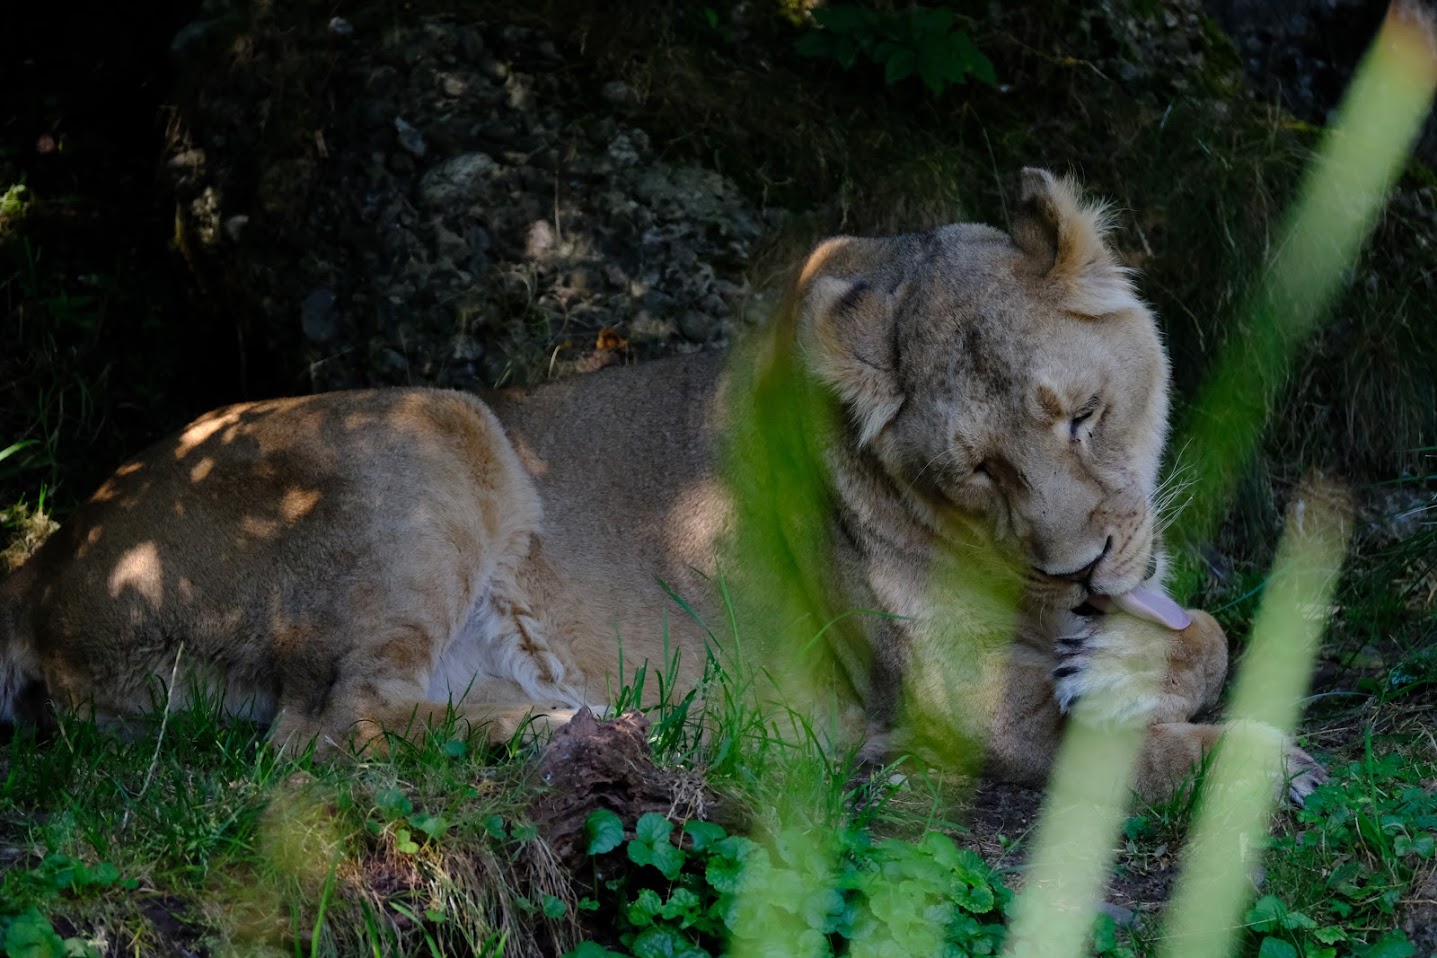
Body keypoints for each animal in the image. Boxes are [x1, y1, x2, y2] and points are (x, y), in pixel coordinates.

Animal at [0, 168, 1323, 803]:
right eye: (981, 469)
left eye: (1083, 419)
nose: (1081, 565)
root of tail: (48, 562)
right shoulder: (960, 704)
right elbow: (1128, 753)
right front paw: (1263, 767)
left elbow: (1209, 630)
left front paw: (1126, 659)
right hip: (436, 430)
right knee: (323, 730)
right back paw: (584, 731)